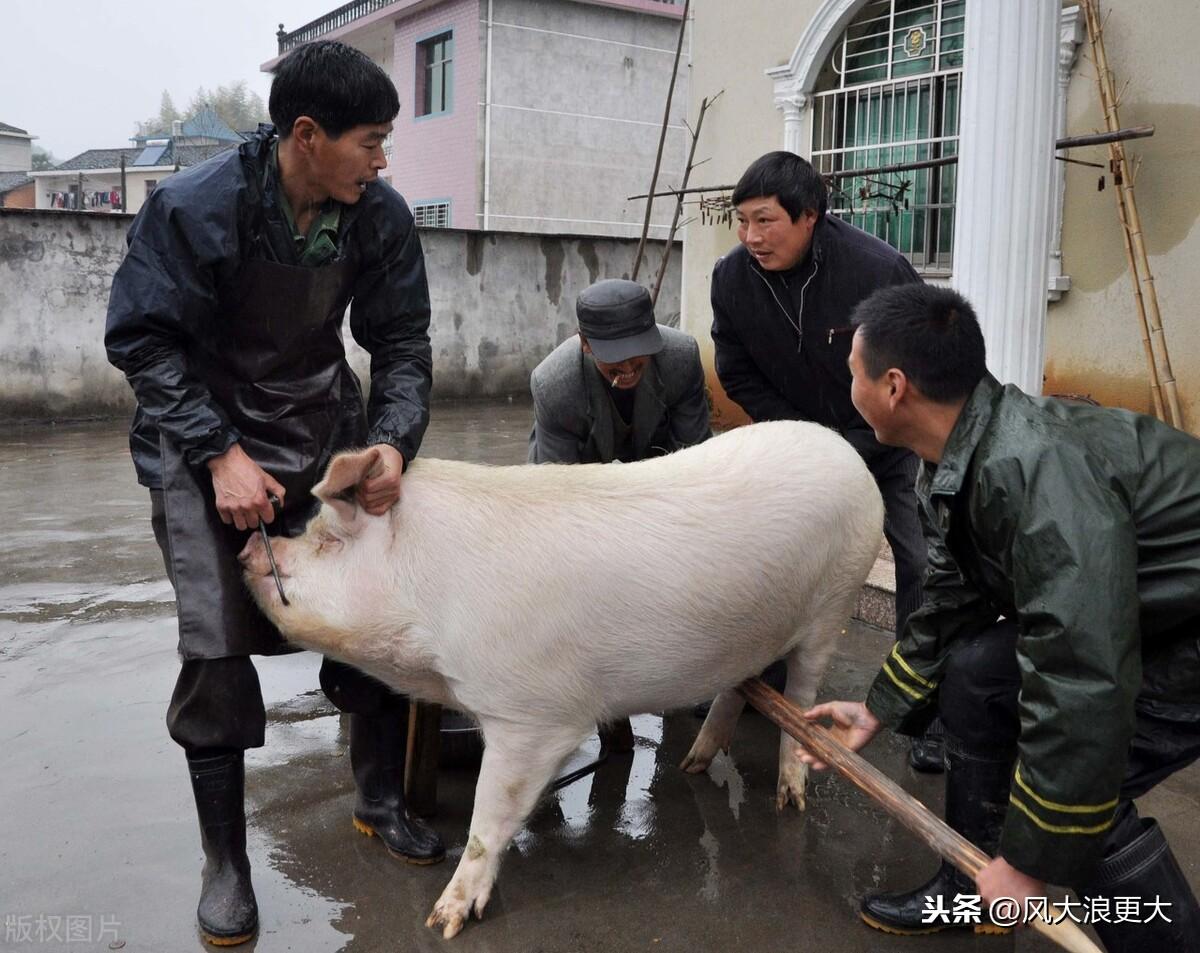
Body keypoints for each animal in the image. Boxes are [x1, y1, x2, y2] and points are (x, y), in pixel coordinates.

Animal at [241, 422, 883, 936]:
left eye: (328, 539)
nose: (249, 545)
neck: (431, 595)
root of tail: (847, 451)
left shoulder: (531, 714)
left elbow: (488, 815)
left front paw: (444, 920)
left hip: (833, 603)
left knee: (802, 700)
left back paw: (789, 799)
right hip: (750, 632)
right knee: (733, 687)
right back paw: (691, 766)